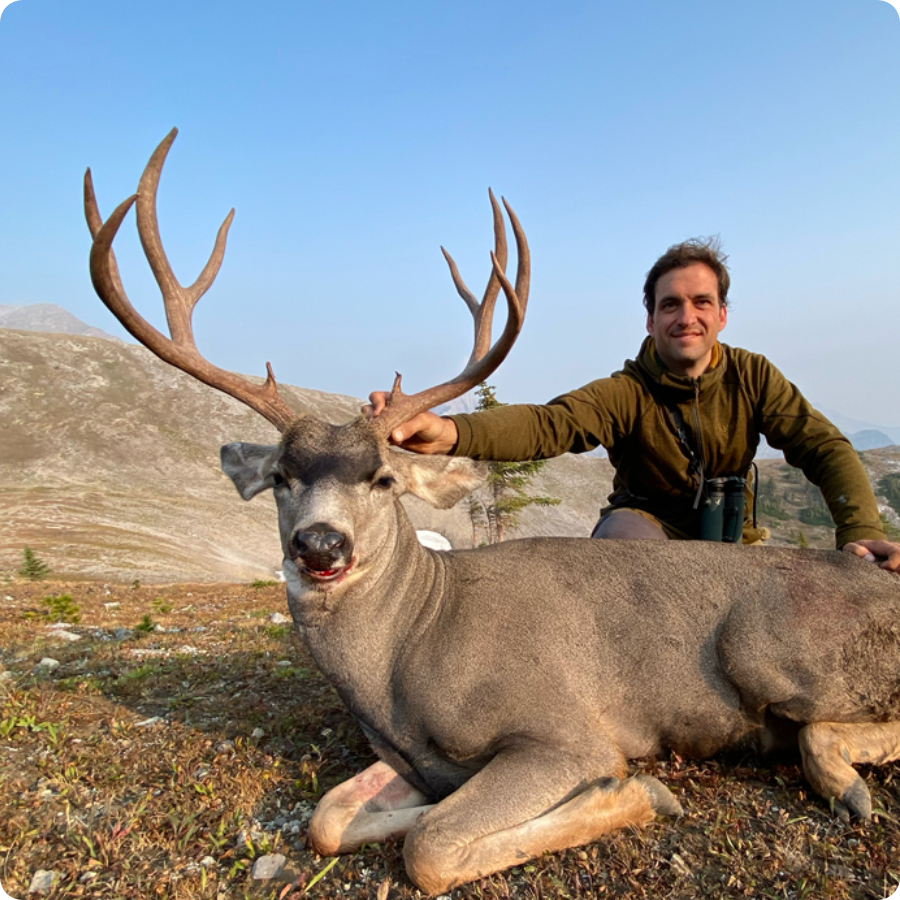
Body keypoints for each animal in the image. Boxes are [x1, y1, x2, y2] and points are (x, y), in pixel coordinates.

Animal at [84, 130, 900, 895]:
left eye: (383, 478)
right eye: (282, 477)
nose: (320, 545)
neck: (408, 658)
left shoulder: (564, 731)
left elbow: (434, 844)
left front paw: (636, 793)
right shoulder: (409, 758)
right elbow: (330, 819)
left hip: (762, 649)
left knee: (820, 728)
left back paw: (841, 782)